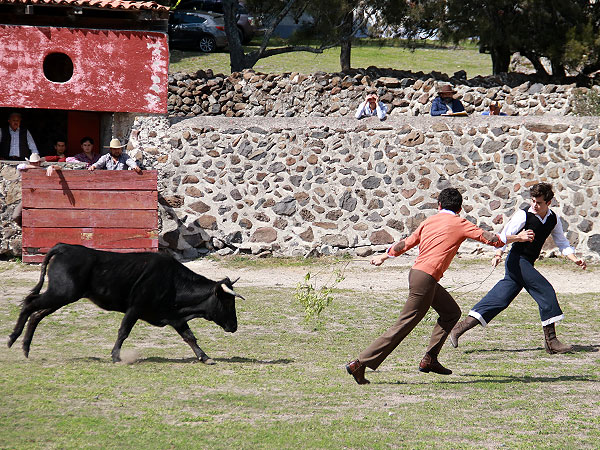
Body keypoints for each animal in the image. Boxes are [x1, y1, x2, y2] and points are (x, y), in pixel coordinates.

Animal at [7, 244, 244, 364]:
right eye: (226, 302)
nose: (234, 326)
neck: (173, 281)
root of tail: (63, 247)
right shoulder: (135, 308)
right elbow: (123, 331)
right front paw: (115, 356)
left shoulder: (175, 317)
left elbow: (189, 337)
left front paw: (205, 358)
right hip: (61, 293)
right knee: (30, 305)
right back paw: (12, 339)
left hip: (62, 296)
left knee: (36, 314)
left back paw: (25, 348)